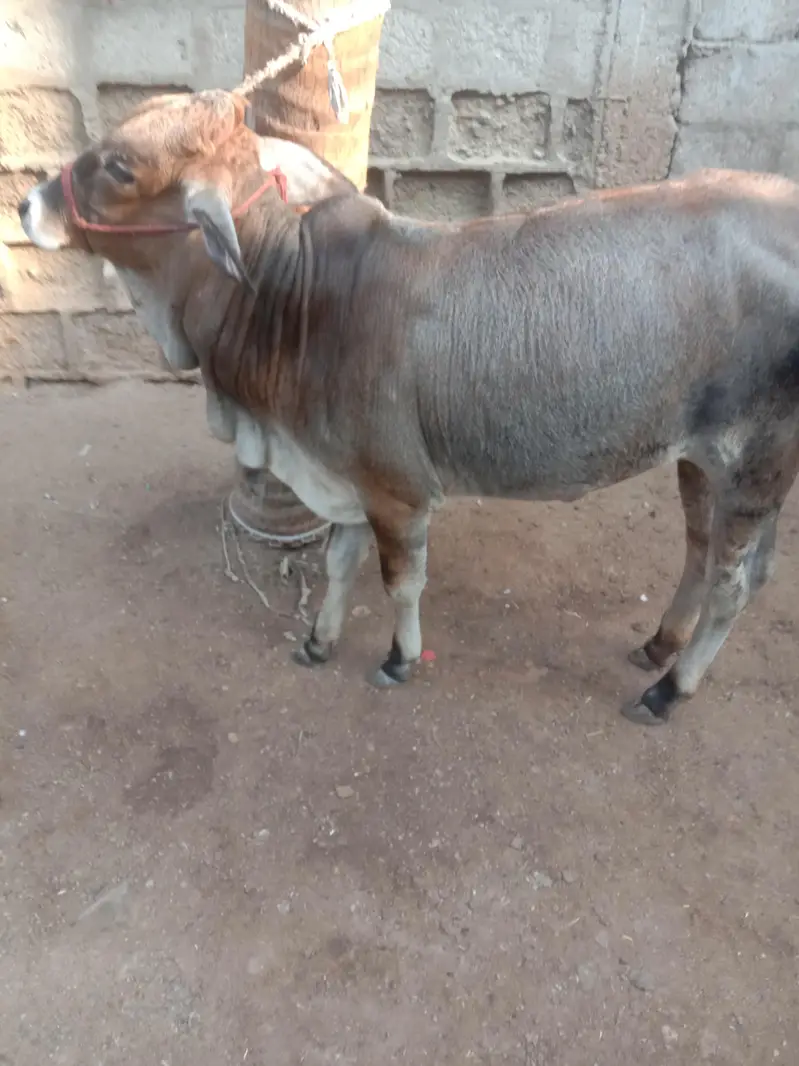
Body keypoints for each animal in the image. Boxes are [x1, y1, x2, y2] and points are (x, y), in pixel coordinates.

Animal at [18, 88, 799, 726]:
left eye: (121, 168)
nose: (28, 204)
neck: (295, 293)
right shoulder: (344, 476)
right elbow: (339, 563)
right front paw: (318, 640)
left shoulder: (397, 491)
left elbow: (400, 581)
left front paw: (396, 659)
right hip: (701, 461)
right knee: (703, 554)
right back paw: (659, 645)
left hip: (754, 464)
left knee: (732, 584)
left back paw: (668, 690)